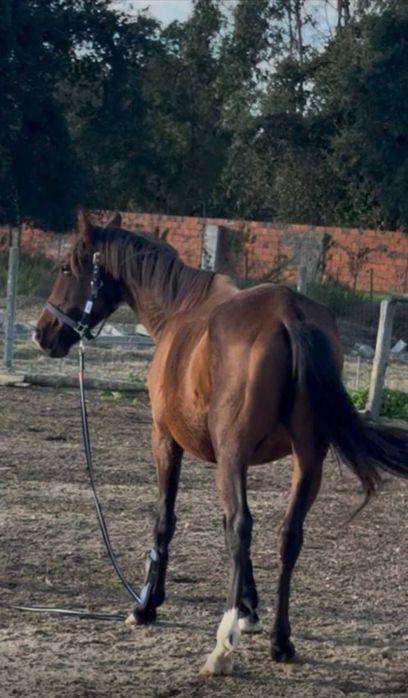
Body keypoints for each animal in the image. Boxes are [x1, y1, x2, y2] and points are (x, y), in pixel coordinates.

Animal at [34, 210, 408, 676]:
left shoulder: (166, 440)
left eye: (67, 269)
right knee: (287, 535)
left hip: (235, 455)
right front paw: (249, 607)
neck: (180, 310)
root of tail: (289, 316)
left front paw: (148, 606)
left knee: (242, 525)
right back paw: (280, 641)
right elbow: (225, 524)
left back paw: (222, 645)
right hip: (307, 462)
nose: (43, 333)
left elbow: (167, 519)